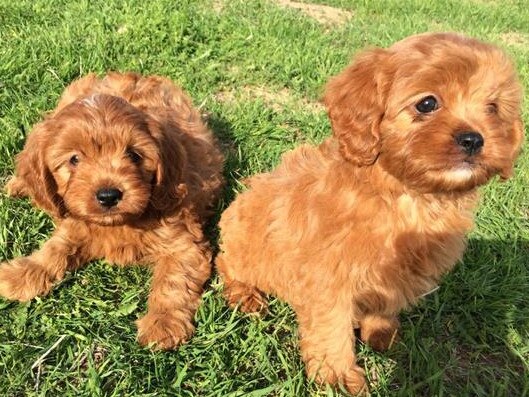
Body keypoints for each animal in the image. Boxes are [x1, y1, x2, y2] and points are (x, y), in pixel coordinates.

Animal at [0, 72, 223, 350]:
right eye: (74, 159)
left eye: (134, 155)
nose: (108, 196)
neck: (118, 224)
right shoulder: (73, 223)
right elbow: (54, 251)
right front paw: (21, 274)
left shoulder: (183, 242)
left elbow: (173, 281)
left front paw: (163, 323)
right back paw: (20, 184)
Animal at [216, 31, 524, 392]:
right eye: (427, 103)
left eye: (493, 108)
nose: (474, 140)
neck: (407, 195)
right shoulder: (329, 280)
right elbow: (331, 332)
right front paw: (338, 379)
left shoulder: (398, 275)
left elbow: (385, 304)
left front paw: (381, 334)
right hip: (240, 241)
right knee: (225, 262)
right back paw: (245, 295)